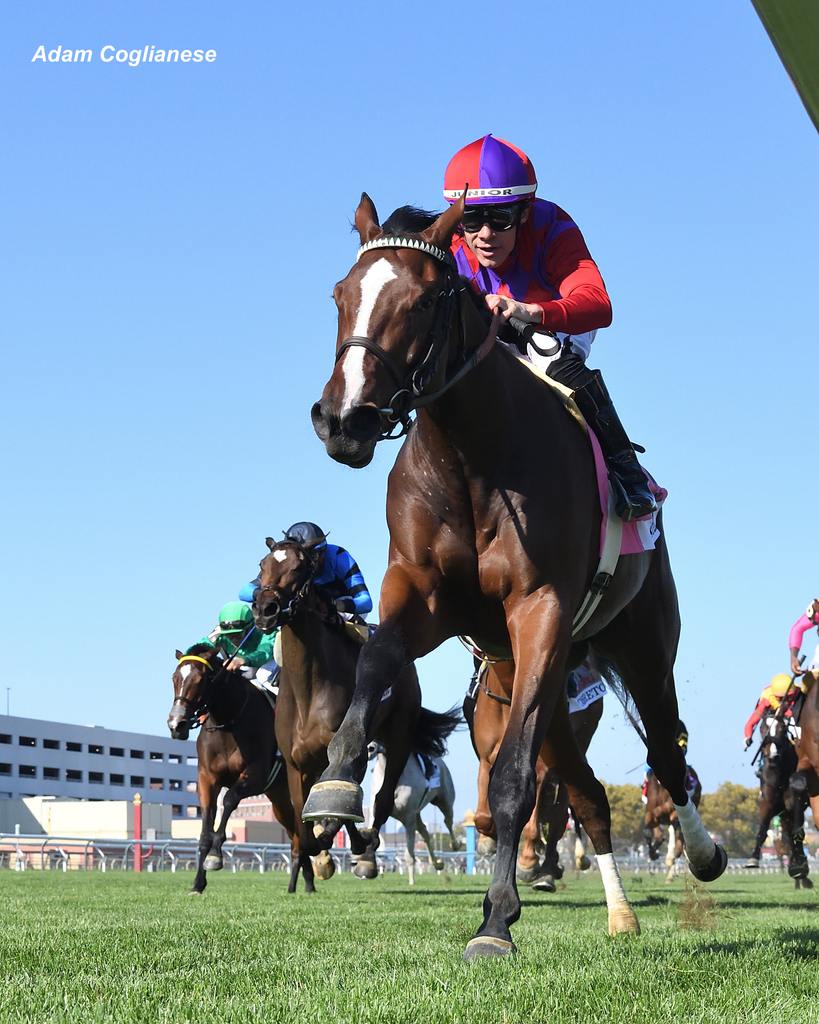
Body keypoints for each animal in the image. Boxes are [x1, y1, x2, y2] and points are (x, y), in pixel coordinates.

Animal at [165, 647, 323, 897]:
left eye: (200, 680)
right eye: (175, 678)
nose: (176, 724)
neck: (228, 723)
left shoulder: (255, 776)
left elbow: (229, 800)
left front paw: (215, 856)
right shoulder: (207, 779)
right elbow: (205, 831)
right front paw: (198, 883)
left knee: (301, 828)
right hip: (278, 798)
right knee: (295, 832)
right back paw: (302, 882)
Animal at [250, 536, 460, 880]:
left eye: (299, 566)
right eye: (262, 565)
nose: (265, 609)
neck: (309, 692)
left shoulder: (341, 754)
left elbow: (343, 809)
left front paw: (356, 844)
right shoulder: (296, 764)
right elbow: (304, 825)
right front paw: (321, 854)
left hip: (399, 734)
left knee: (384, 800)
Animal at [305, 195, 724, 954]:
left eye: (422, 300)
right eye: (340, 295)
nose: (343, 420)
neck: (471, 458)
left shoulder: (540, 608)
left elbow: (510, 782)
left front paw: (496, 919)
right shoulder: (422, 594)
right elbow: (377, 658)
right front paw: (336, 785)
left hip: (637, 647)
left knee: (666, 753)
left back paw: (703, 854)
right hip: (547, 683)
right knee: (586, 793)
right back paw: (620, 914)